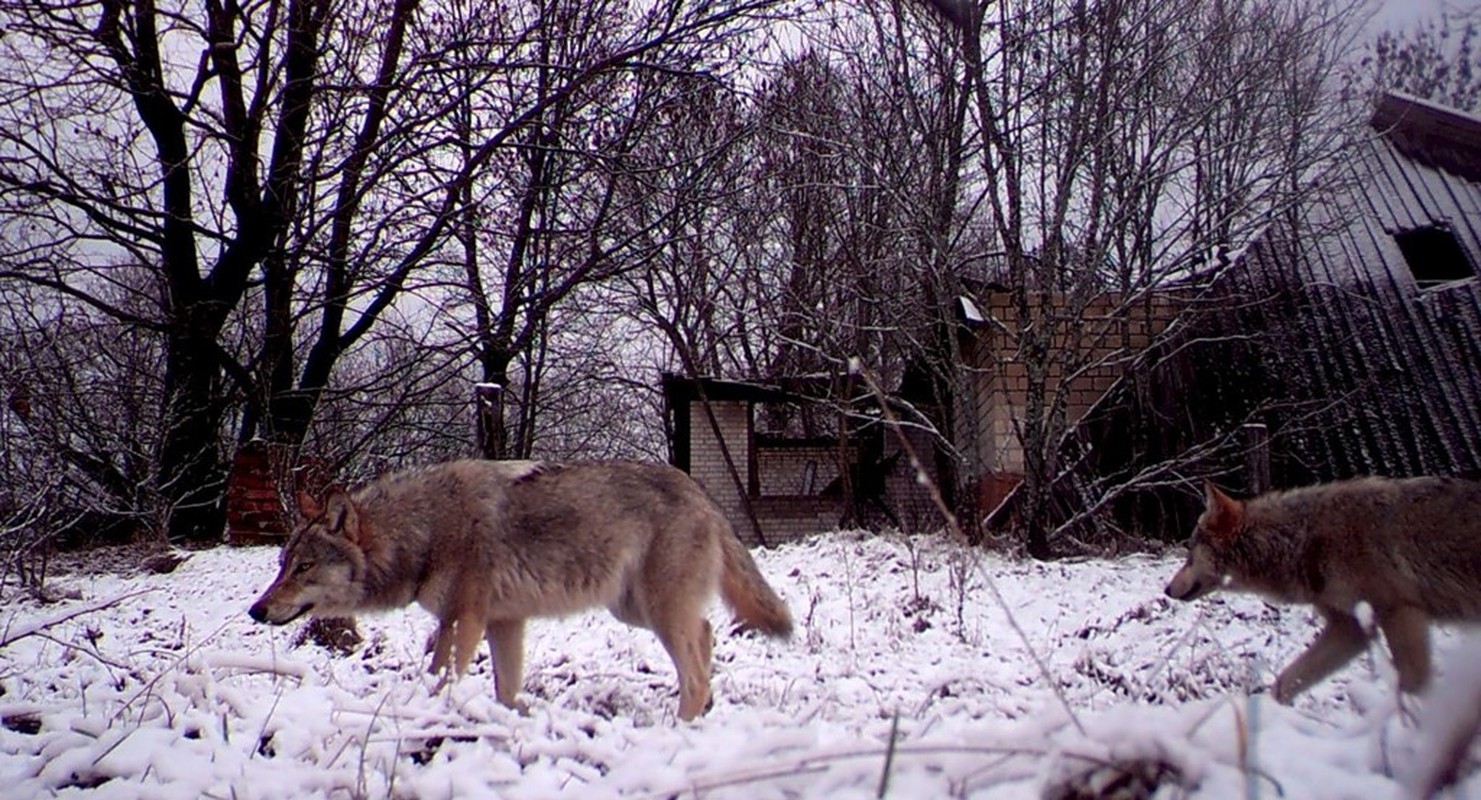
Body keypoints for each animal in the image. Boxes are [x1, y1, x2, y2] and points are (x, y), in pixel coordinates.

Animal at [248, 459, 793, 722]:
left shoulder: (462, 620)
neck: (425, 530)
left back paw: (680, 728)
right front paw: (506, 720)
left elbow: (442, 677)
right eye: (282, 566)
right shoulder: (503, 622)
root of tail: (700, 492)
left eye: (304, 567)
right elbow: (505, 688)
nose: (256, 610)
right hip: (635, 611)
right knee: (707, 634)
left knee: (695, 665)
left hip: (655, 612)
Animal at [1161, 474, 1481, 699]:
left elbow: (1412, 685)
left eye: (1189, 553)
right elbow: (1285, 682)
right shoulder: (1349, 629)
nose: (1166, 589)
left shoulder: (1401, 612)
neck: (1302, 539)